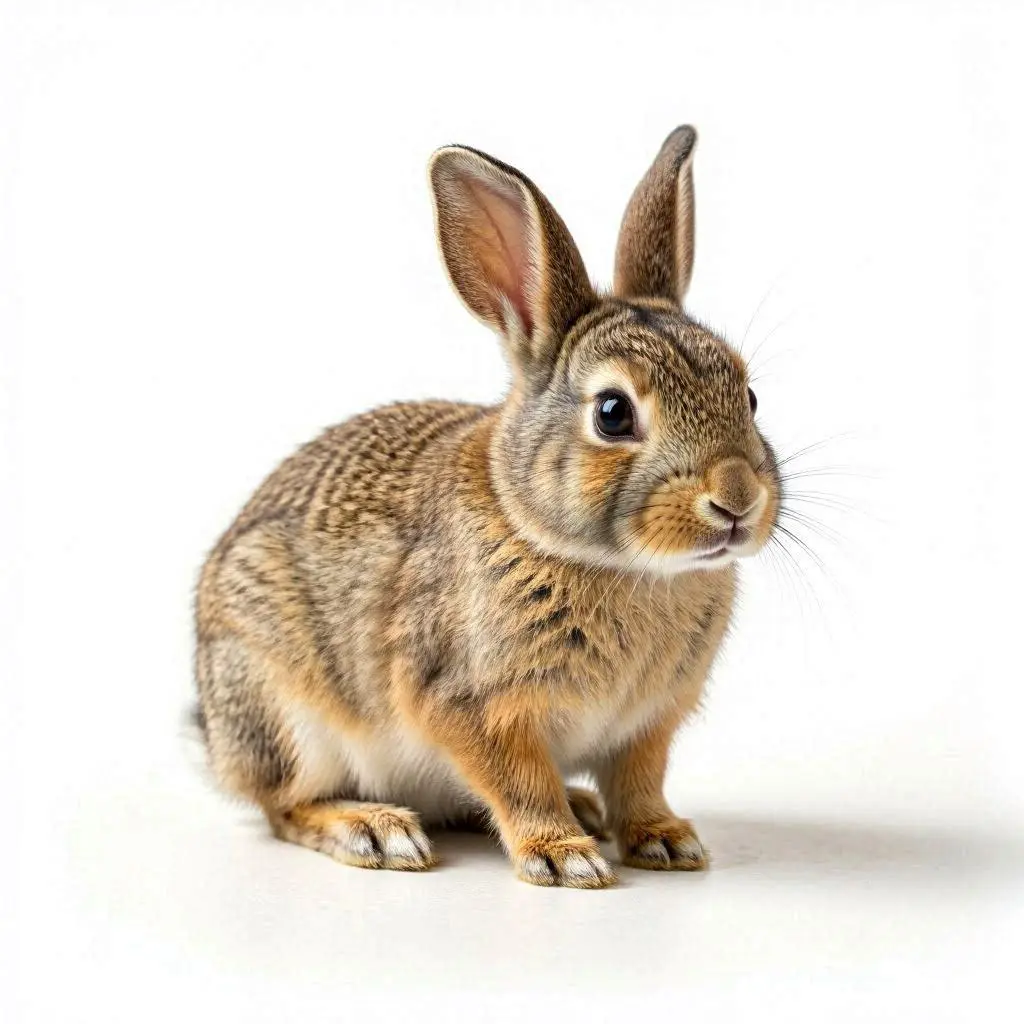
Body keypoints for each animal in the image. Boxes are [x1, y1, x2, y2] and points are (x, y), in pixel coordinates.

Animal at [193, 125, 782, 888]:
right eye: (613, 413)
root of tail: (212, 734)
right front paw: (562, 856)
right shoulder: (470, 703)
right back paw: (375, 829)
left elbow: (639, 782)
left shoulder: (647, 725)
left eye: (750, 396)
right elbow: (518, 782)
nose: (737, 498)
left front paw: (663, 839)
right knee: (286, 806)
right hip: (284, 711)